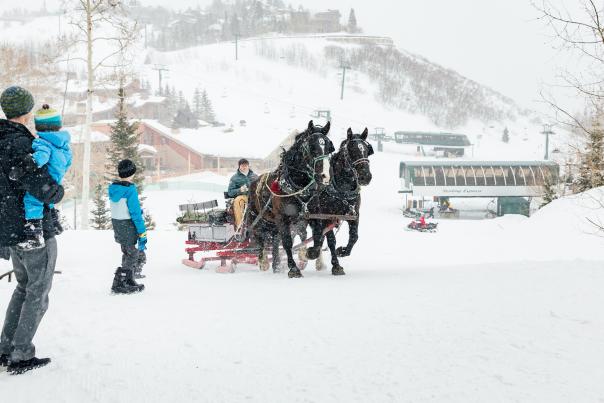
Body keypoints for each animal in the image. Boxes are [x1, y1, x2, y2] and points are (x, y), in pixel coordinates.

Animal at [248, 120, 338, 278]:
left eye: (329, 147)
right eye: (312, 147)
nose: (325, 176)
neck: (297, 186)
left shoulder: (314, 216)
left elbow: (318, 238)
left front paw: (308, 254)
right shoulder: (283, 218)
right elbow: (287, 242)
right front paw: (294, 268)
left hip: (274, 223)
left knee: (275, 240)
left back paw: (276, 265)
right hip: (257, 219)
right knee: (259, 238)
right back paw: (263, 260)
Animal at [304, 128, 376, 276]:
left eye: (367, 150)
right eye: (352, 150)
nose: (366, 176)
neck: (342, 189)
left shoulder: (354, 214)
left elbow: (354, 237)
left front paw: (343, 251)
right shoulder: (327, 216)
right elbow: (332, 241)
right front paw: (336, 265)